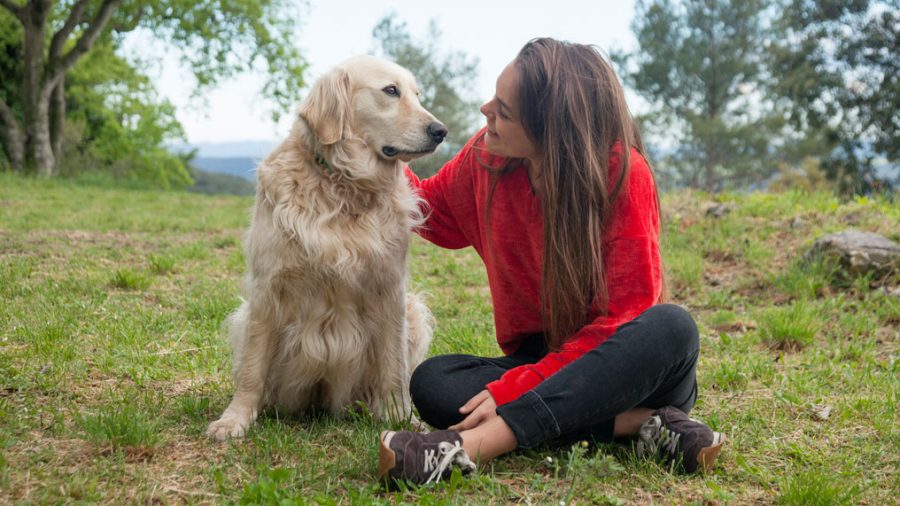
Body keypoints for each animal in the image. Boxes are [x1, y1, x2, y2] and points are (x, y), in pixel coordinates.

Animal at [204, 55, 442, 440]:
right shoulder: (268, 287)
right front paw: (235, 419)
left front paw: (401, 418)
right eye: (391, 90)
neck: (342, 185)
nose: (441, 131)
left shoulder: (391, 290)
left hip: (414, 312)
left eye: (417, 95)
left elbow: (393, 369)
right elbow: (253, 368)